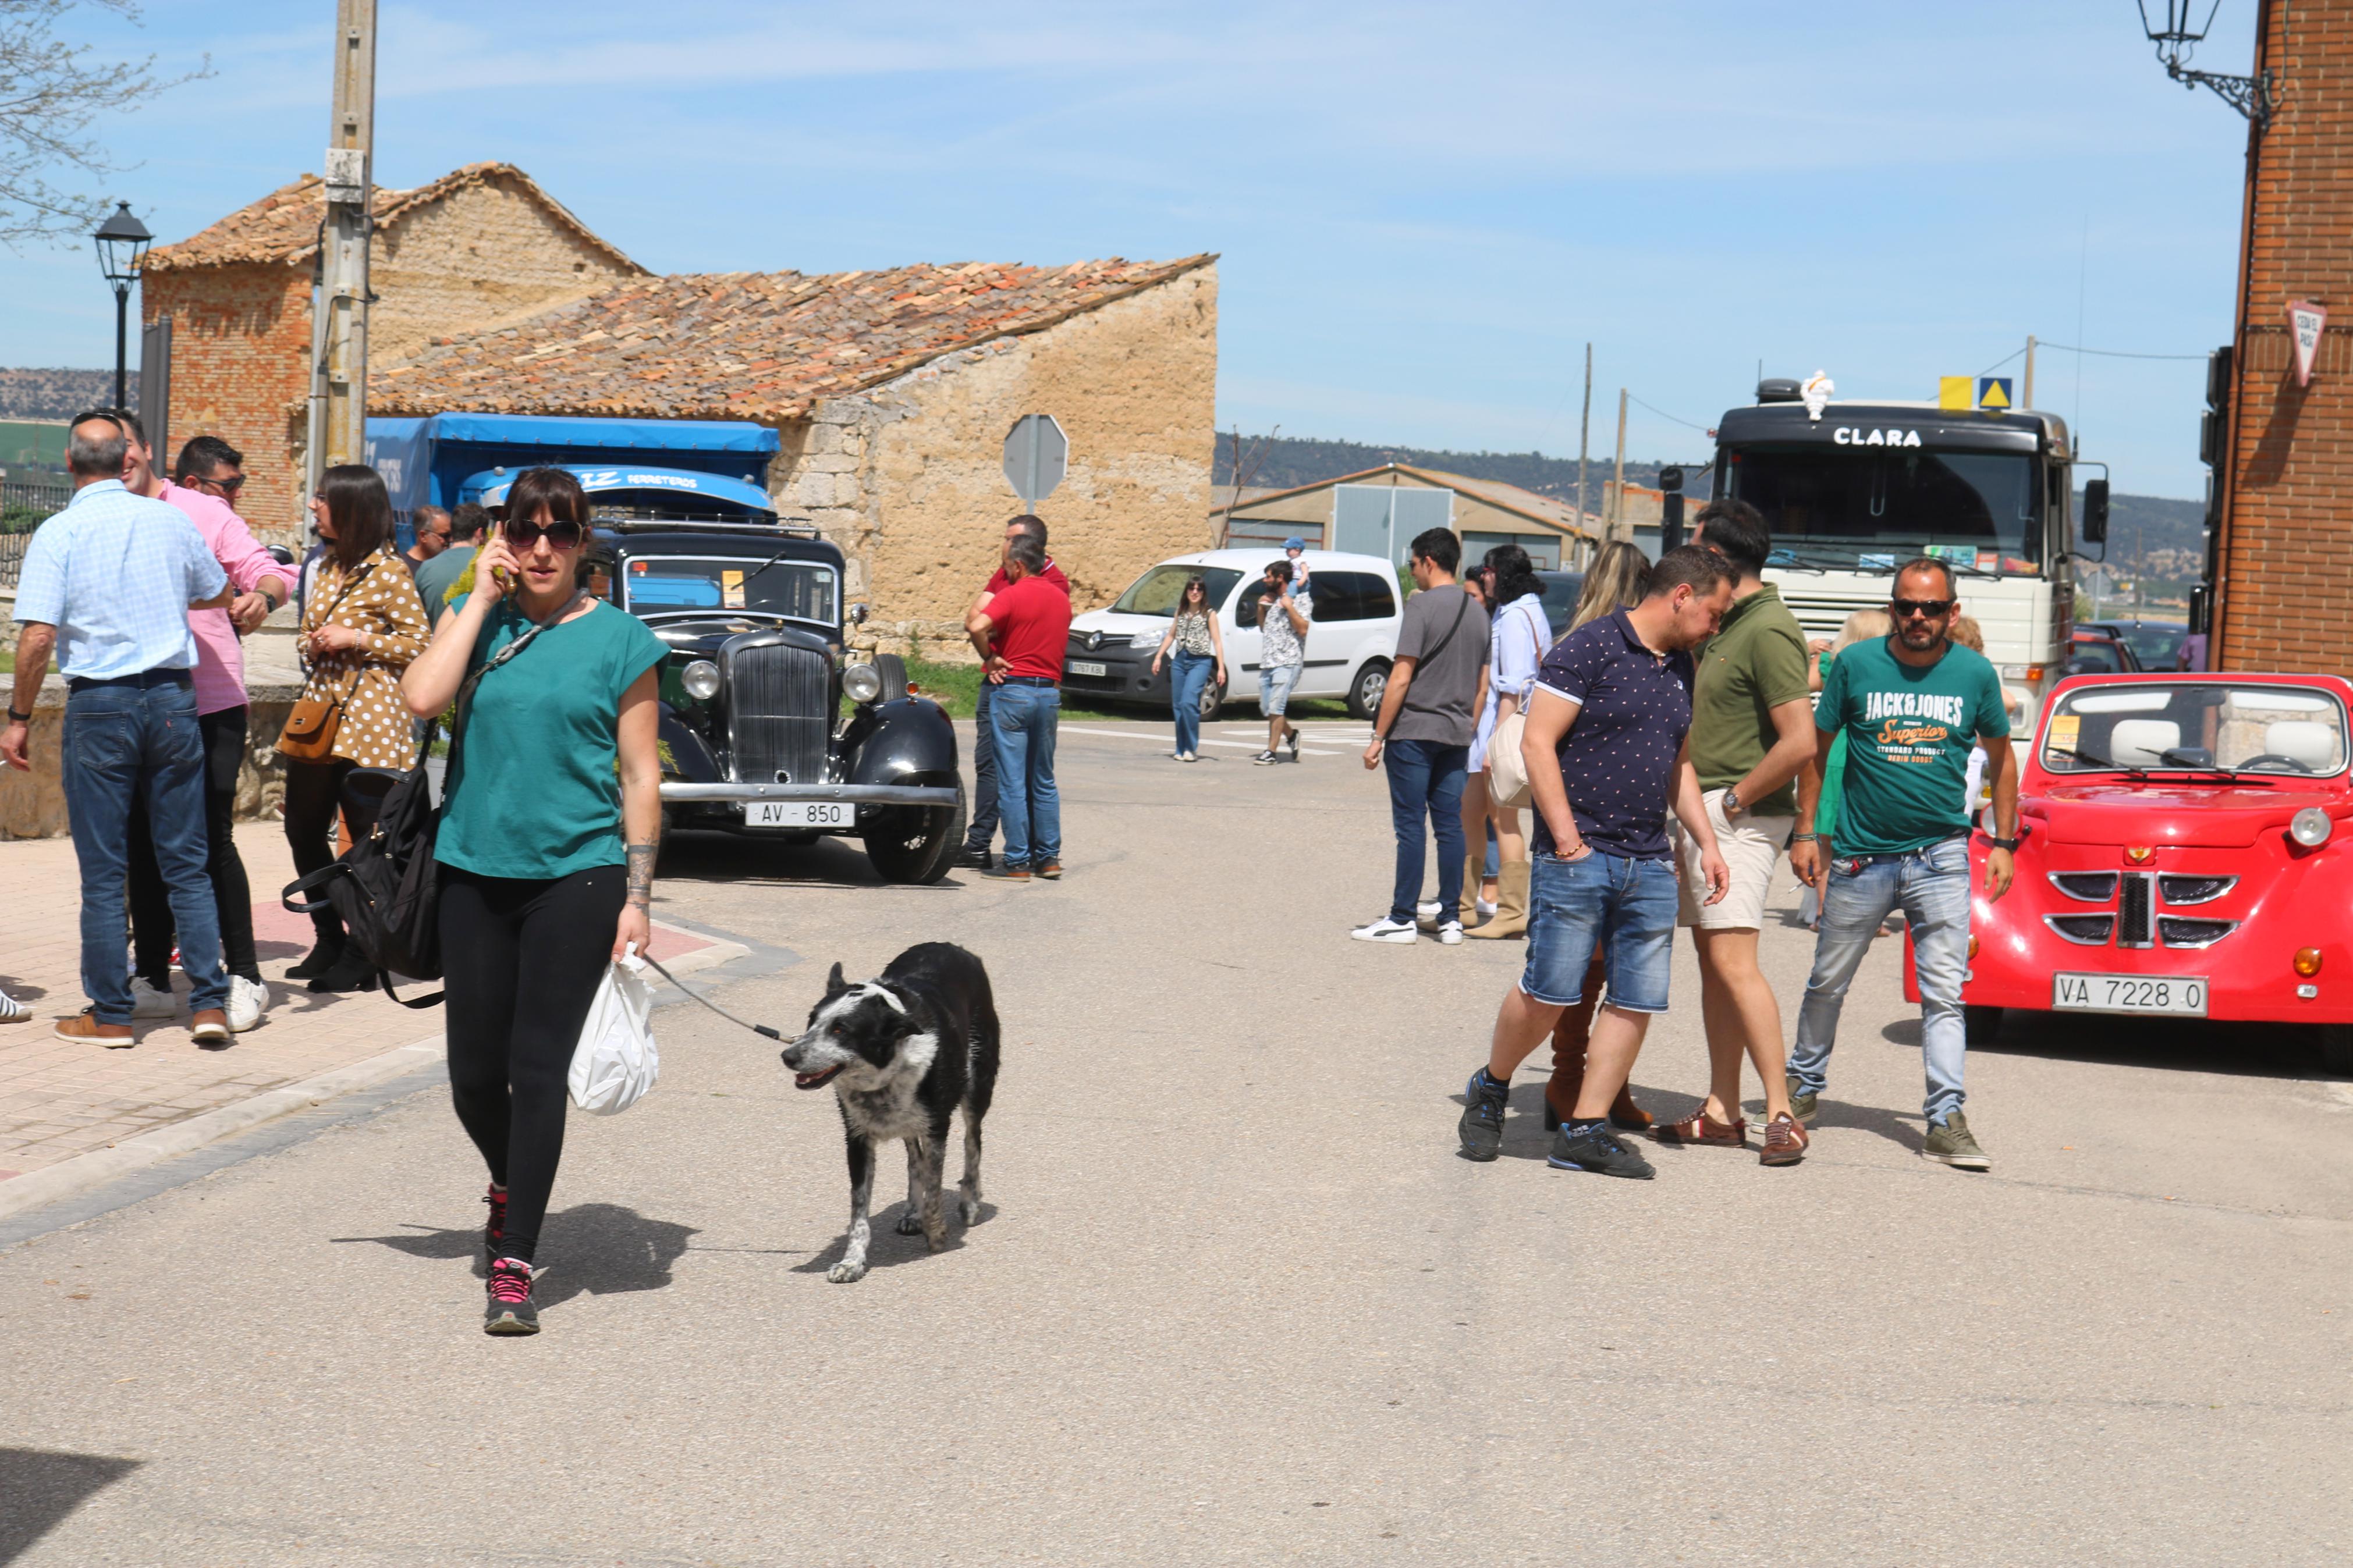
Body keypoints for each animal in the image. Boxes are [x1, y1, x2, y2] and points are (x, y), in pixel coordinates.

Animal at [776, 940, 998, 1279]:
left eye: (840, 1030)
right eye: (811, 1021)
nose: (788, 1056)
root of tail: (950, 946)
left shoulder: (937, 1128)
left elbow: (934, 1186)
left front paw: (937, 1233)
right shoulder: (857, 1138)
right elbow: (859, 1213)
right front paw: (851, 1262)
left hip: (977, 1085)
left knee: (972, 1142)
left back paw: (970, 1202)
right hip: (908, 1123)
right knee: (914, 1159)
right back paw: (912, 1213)